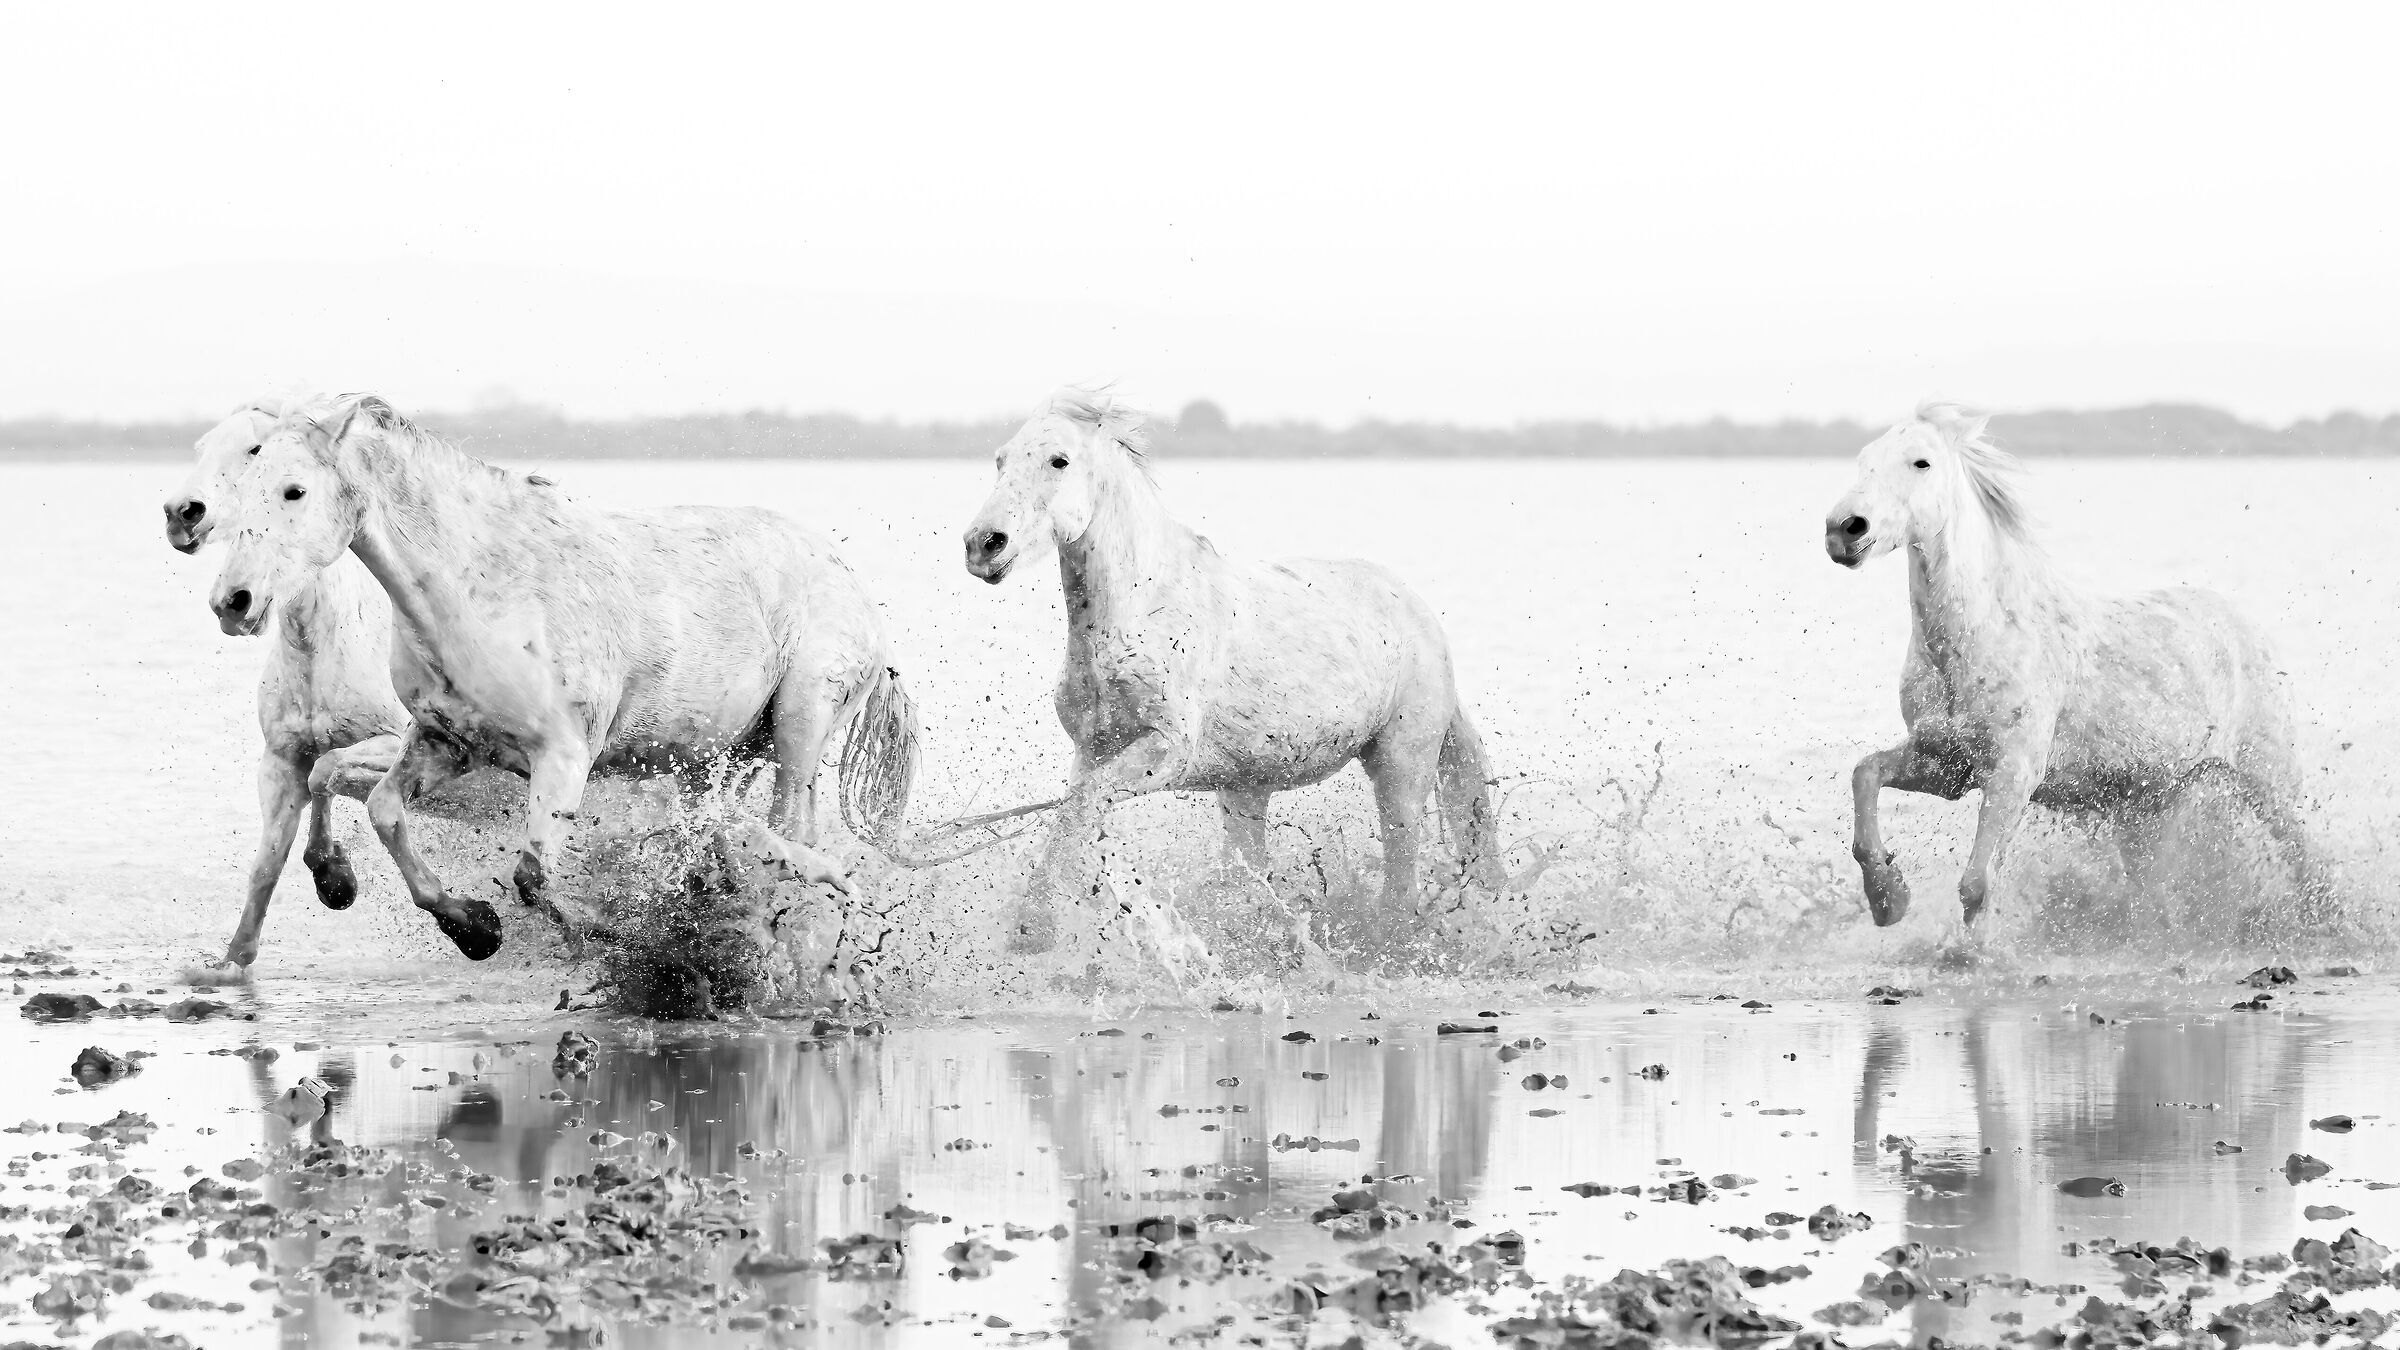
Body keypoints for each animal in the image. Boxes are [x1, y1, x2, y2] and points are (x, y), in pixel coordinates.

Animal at [163, 395, 425, 970]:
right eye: (200, 446)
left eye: (255, 449)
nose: (180, 512)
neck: (321, 646)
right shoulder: (282, 760)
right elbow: (267, 864)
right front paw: (232, 962)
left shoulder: (398, 742)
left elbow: (328, 773)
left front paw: (335, 875)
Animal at [204, 394, 921, 962]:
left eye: (294, 490)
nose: (232, 601)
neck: (482, 590)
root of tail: (853, 582)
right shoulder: (449, 744)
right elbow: (383, 810)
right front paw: (474, 928)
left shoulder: (564, 756)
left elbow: (533, 878)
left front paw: (612, 938)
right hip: (711, 756)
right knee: (732, 832)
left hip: (802, 723)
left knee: (790, 829)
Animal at [961, 387, 1522, 953]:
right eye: (1000, 459)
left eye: (1060, 460)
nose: (983, 544)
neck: (1138, 615)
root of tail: (1420, 614)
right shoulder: (1092, 750)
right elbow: (1076, 813)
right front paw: (1046, 925)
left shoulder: (1165, 749)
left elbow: (1080, 810)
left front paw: (1032, 931)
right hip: (1245, 791)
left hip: (1401, 766)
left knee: (1401, 884)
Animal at [1823, 401, 2315, 927]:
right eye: (1864, 460)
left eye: (1922, 463)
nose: (1843, 529)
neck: (1972, 645)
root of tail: (2249, 627)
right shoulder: (1946, 765)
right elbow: (1864, 774)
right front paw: (1888, 900)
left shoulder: (2014, 772)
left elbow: (1976, 885)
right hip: (2148, 809)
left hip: (2270, 785)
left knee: (2310, 867)